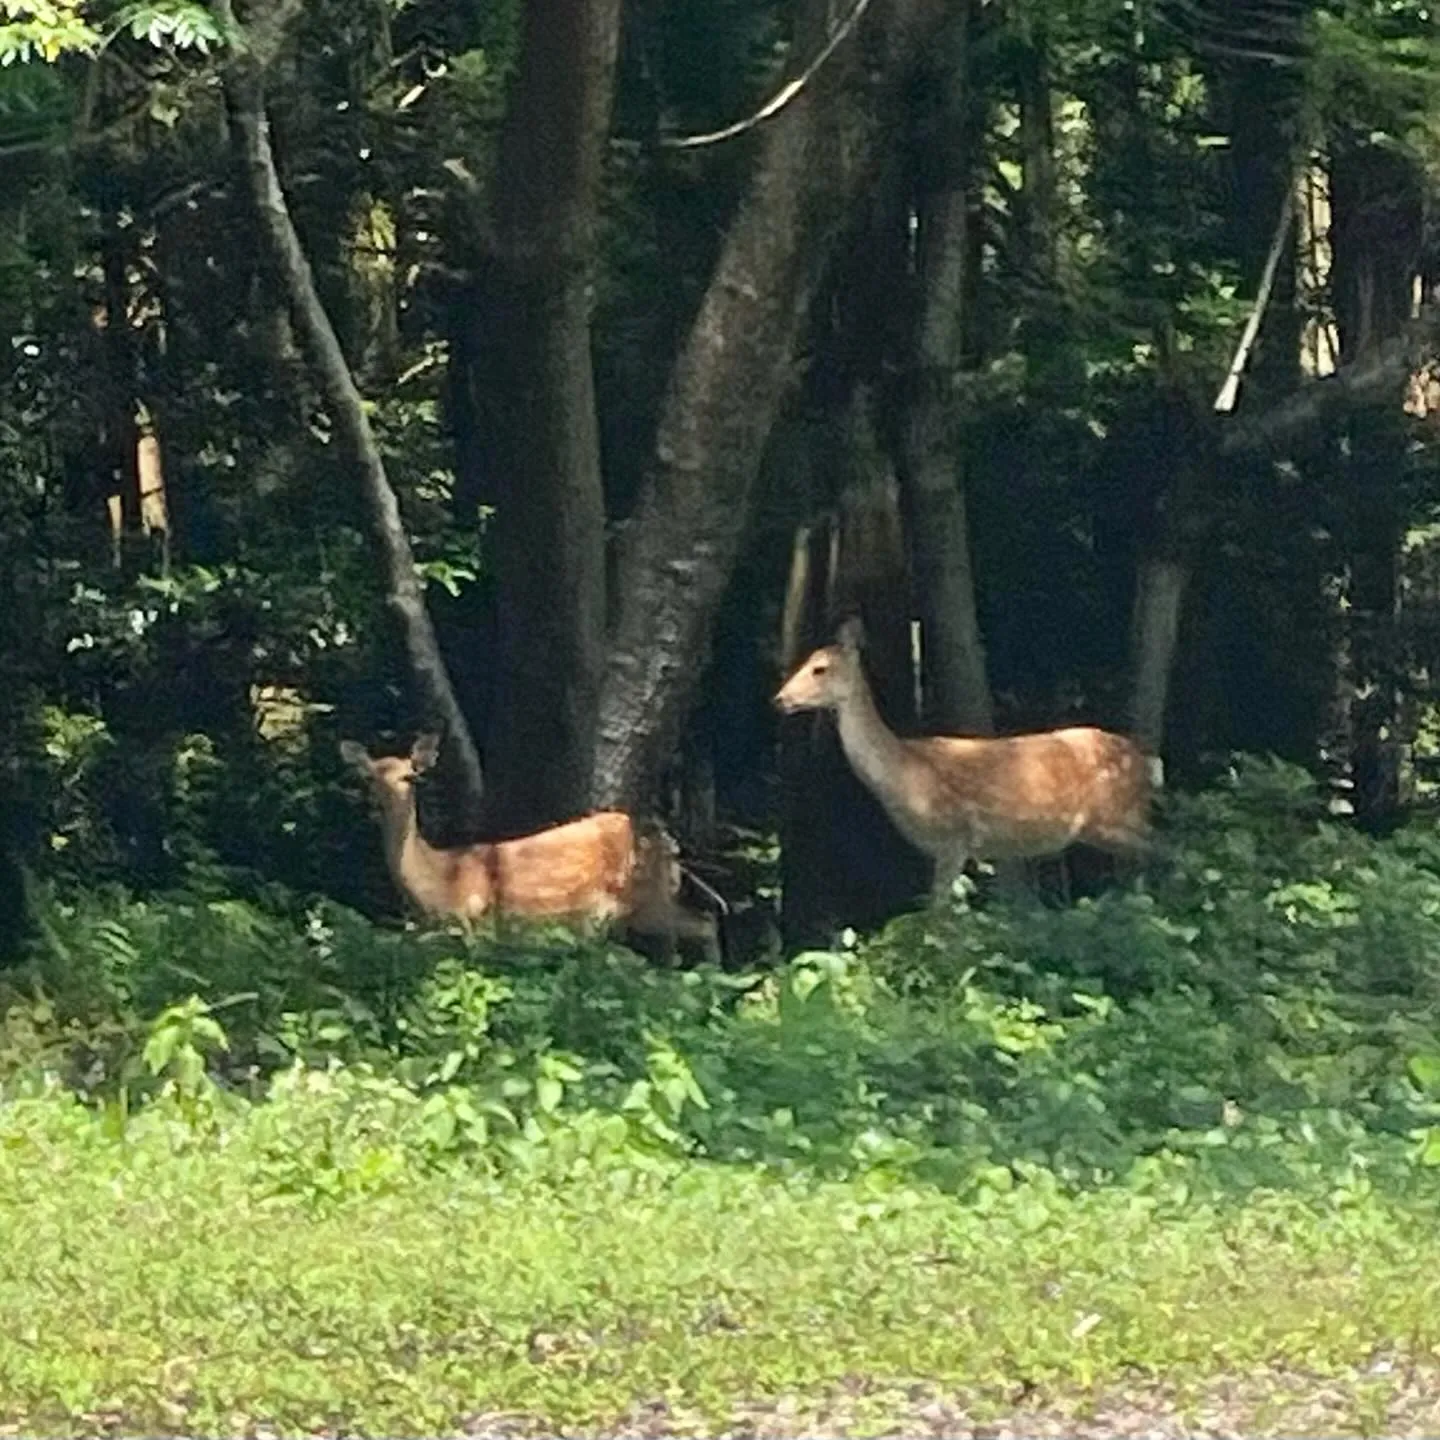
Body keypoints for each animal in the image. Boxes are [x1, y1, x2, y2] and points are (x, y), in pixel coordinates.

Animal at [340, 734, 719, 958]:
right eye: (369, 776)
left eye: (411, 776)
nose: (378, 803)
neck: (438, 882)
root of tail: (669, 843)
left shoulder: (477, 924)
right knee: (703, 922)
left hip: (641, 896)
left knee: (702, 923)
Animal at [774, 618, 1154, 906]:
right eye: (802, 663)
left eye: (819, 668)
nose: (779, 699)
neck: (904, 774)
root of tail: (1145, 761)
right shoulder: (936, 849)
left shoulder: (954, 836)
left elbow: (938, 917)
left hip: (1117, 816)